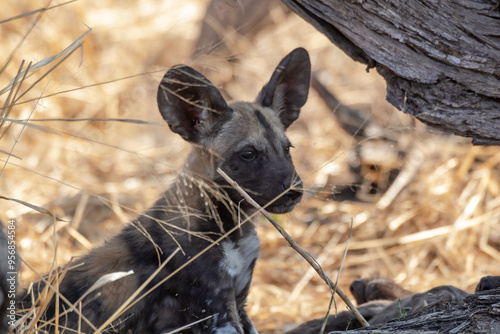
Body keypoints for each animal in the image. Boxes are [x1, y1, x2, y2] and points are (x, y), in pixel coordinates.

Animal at [17, 47, 310, 334]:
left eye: (287, 149)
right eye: (249, 154)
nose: (295, 190)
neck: (233, 230)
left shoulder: (239, 305)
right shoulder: (217, 313)